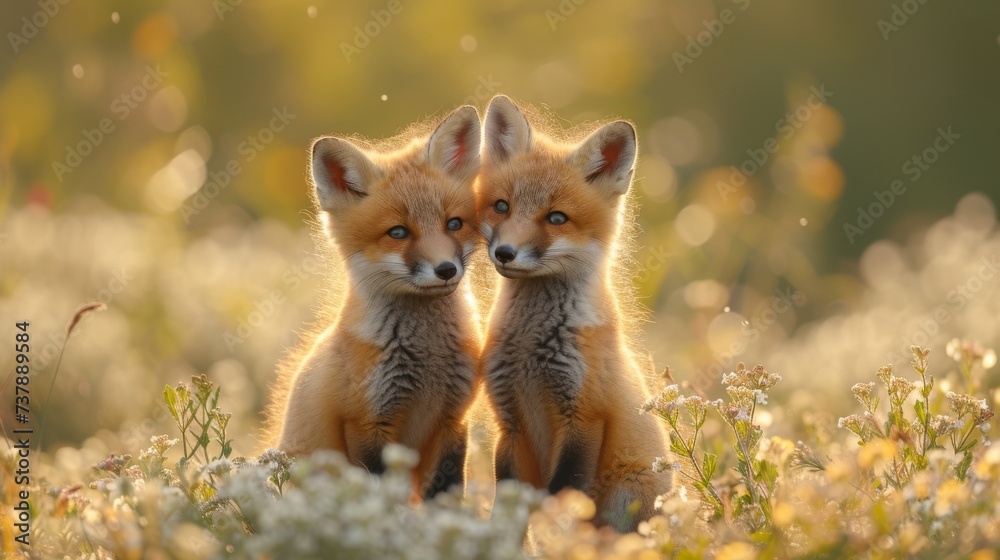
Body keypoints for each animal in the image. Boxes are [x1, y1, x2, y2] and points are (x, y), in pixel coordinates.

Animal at [272, 105, 483, 498]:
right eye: (397, 232)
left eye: (454, 224)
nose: (446, 270)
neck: (429, 359)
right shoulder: (366, 424)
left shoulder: (453, 420)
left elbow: (446, 493)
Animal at [476, 95, 672, 531]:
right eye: (501, 207)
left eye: (556, 218)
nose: (505, 253)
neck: (529, 350)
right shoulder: (508, 424)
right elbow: (507, 512)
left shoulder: (584, 418)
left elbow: (564, 498)